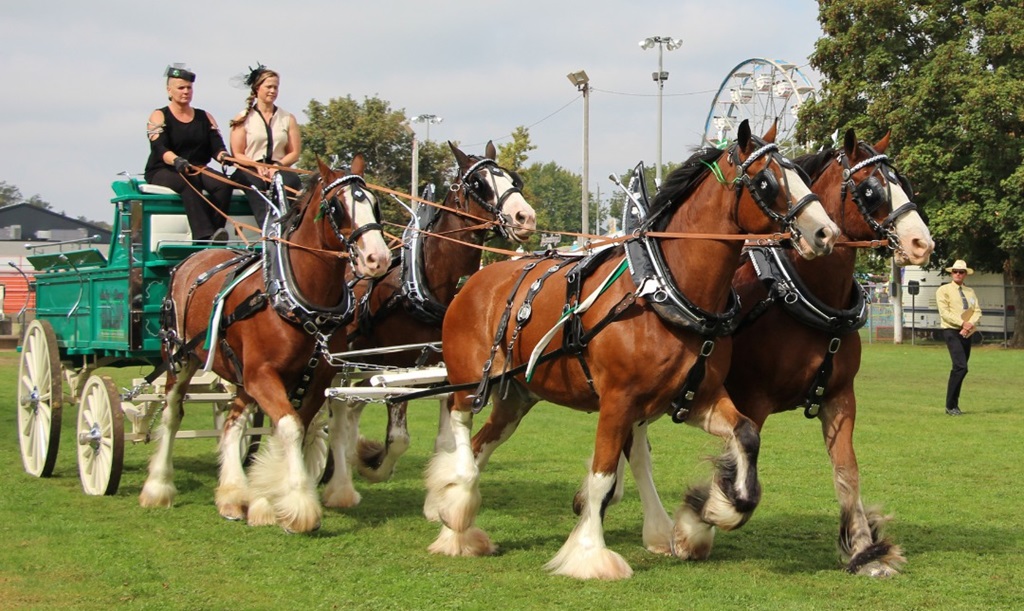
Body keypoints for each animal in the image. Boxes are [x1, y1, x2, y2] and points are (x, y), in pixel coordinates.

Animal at [138, 156, 392, 533]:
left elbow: (292, 428)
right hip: (181, 360)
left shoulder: (312, 378)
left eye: (374, 203)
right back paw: (157, 488)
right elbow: (289, 428)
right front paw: (299, 505)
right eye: (337, 207)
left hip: (242, 375)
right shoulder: (263, 375)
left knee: (232, 423)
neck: (295, 298)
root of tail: (191, 258)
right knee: (172, 415)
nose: (379, 258)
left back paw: (231, 496)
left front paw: (267, 501)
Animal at [321, 141, 537, 508]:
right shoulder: (399, 366)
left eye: (513, 179)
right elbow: (398, 438)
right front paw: (373, 466)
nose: (526, 217)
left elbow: (445, 440)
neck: (428, 282)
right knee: (334, 408)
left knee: (349, 404)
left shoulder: (446, 368)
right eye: (478, 183)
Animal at [425, 120, 839, 579]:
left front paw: (718, 510)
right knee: (460, 425)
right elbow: (602, 477)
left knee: (484, 443)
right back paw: (455, 499)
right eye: (767, 181)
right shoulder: (617, 402)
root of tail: (475, 281)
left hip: (518, 396)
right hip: (470, 380)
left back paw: (456, 529)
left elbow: (746, 434)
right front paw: (590, 554)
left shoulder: (698, 398)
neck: (665, 289)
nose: (826, 233)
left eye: (800, 173)